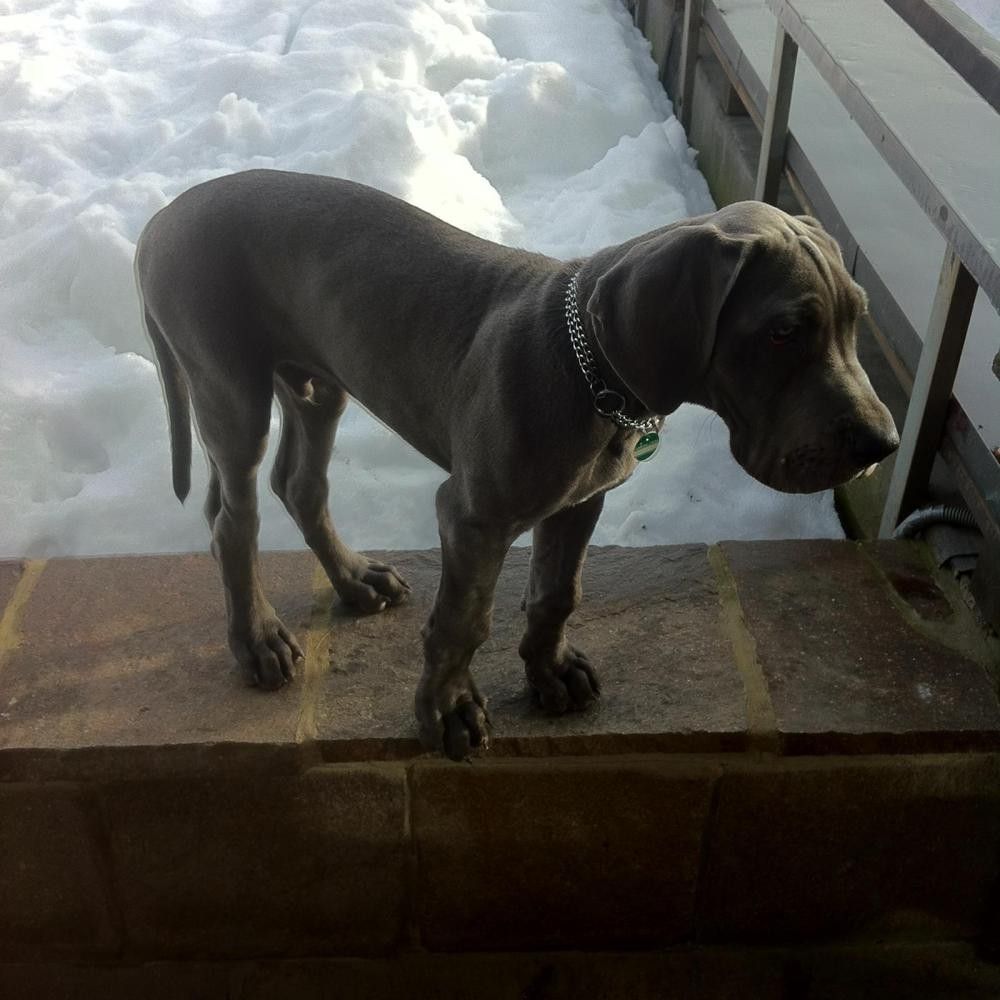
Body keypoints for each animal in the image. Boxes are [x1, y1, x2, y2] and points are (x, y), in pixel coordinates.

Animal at [135, 169, 898, 759]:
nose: (882, 445)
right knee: (233, 521)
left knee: (300, 485)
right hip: (229, 388)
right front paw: (447, 710)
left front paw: (550, 672)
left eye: (857, 318)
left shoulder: (581, 501)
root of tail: (162, 217)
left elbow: (558, 592)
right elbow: (463, 621)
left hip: (317, 384)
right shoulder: (473, 516)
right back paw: (258, 641)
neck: (588, 370)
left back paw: (355, 581)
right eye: (782, 331)